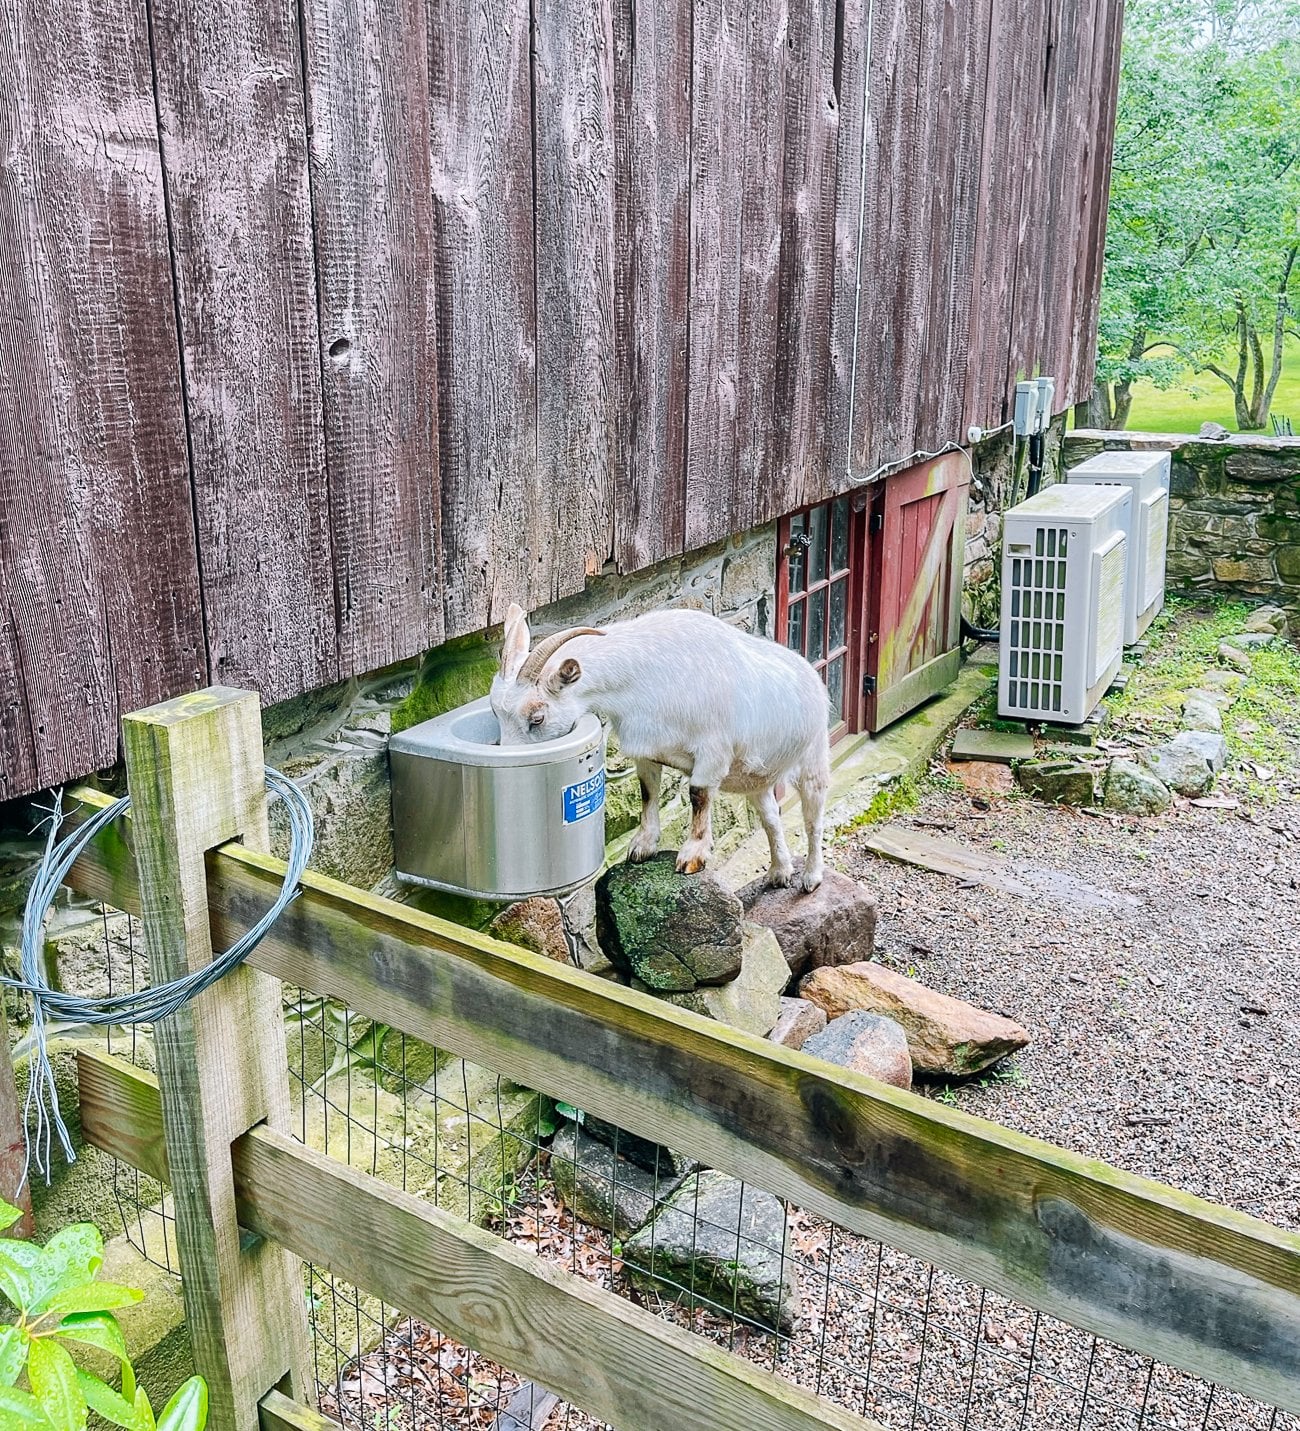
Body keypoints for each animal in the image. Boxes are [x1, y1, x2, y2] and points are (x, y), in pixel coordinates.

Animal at [490, 603, 831, 891]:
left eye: (537, 717)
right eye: (495, 712)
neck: (647, 675)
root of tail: (812, 677)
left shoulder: (712, 752)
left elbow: (698, 795)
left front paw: (692, 856)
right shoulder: (647, 750)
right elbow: (647, 792)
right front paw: (641, 847)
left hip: (813, 760)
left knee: (813, 819)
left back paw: (810, 878)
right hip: (756, 778)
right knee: (771, 816)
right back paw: (779, 872)